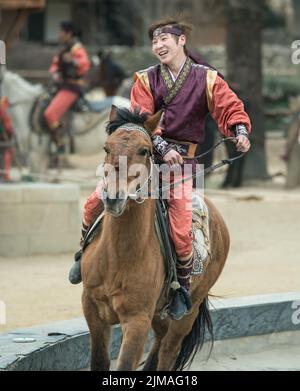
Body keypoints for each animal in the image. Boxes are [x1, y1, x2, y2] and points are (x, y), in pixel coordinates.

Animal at [81, 106, 229, 370]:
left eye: (144, 150)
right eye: (106, 148)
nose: (113, 197)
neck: (117, 256)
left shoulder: (137, 319)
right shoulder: (92, 308)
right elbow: (99, 361)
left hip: (189, 308)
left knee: (169, 347)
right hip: (159, 311)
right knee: (160, 338)